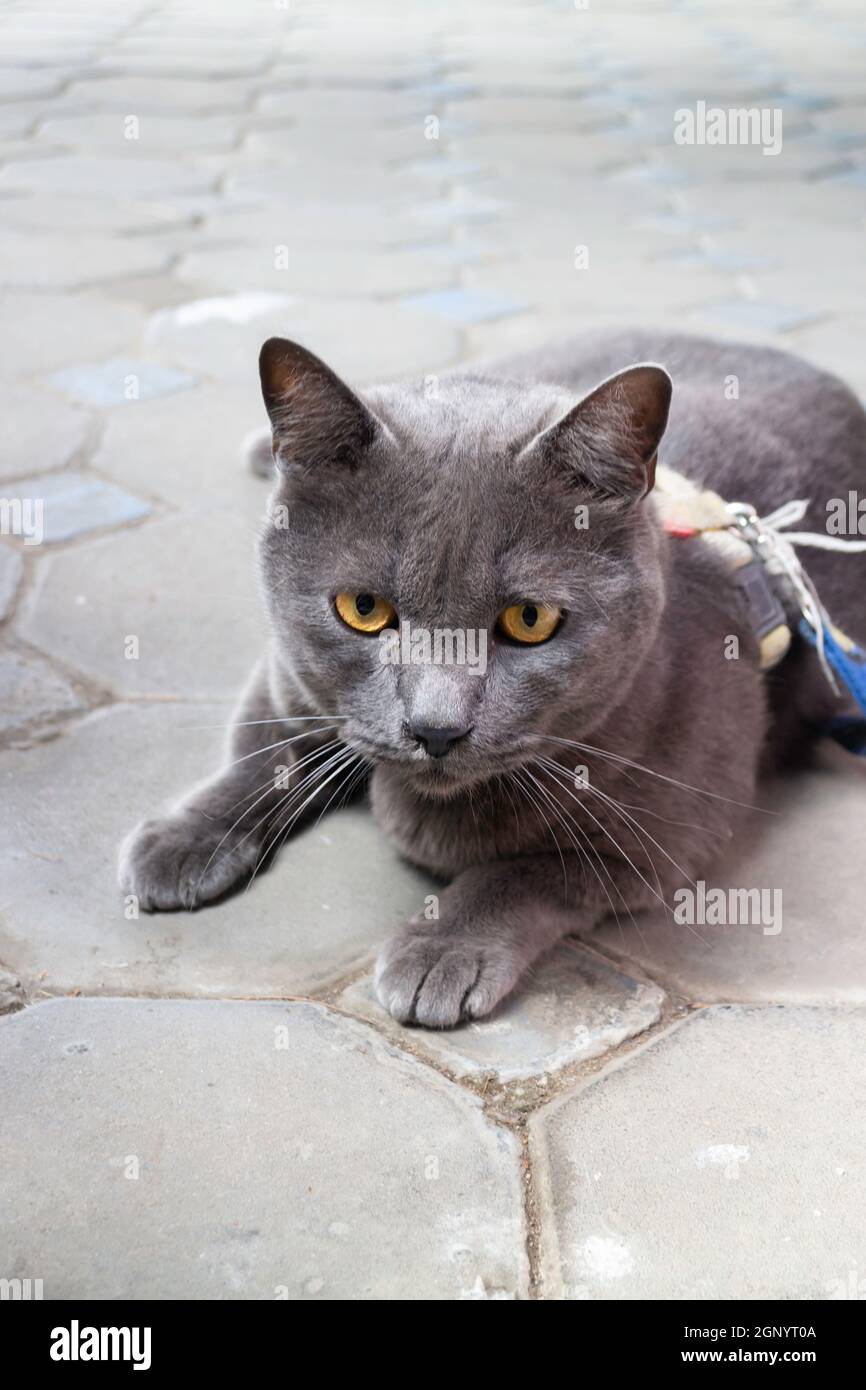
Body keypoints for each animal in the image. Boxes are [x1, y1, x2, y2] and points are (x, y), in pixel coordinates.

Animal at [116, 330, 866, 1028]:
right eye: (363, 609)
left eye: (530, 619)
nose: (435, 727)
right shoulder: (288, 676)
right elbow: (259, 752)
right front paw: (180, 841)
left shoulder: (663, 835)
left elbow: (523, 869)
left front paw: (441, 949)